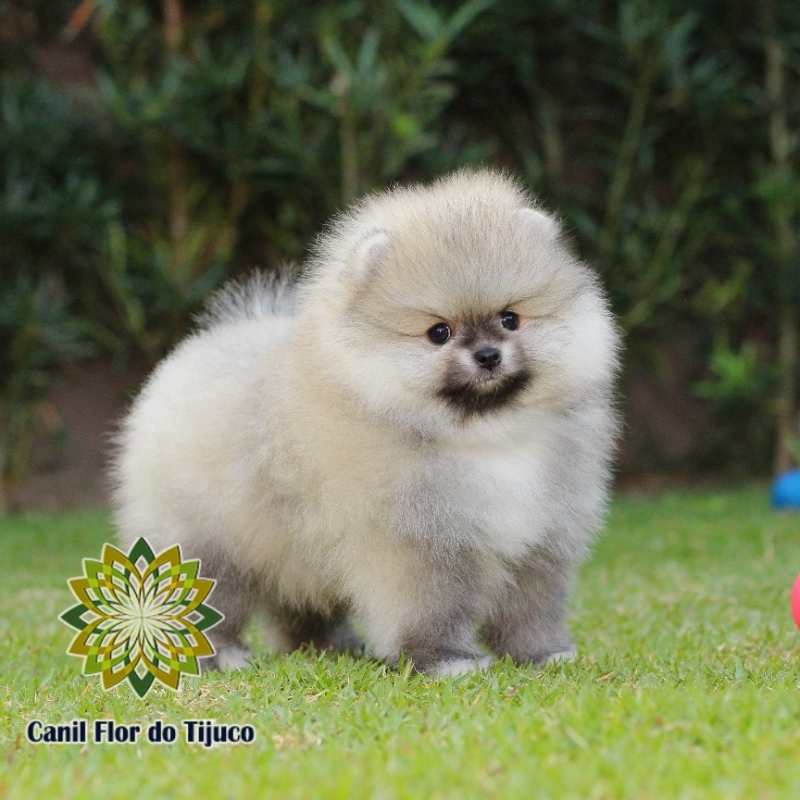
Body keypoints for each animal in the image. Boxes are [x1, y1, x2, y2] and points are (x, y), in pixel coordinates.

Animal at [111, 170, 620, 676]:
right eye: (439, 332)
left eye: (510, 318)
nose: (488, 355)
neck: (486, 437)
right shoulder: (418, 545)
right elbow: (430, 608)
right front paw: (445, 660)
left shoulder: (541, 536)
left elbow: (531, 607)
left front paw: (542, 653)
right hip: (210, 539)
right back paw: (221, 655)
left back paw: (327, 646)